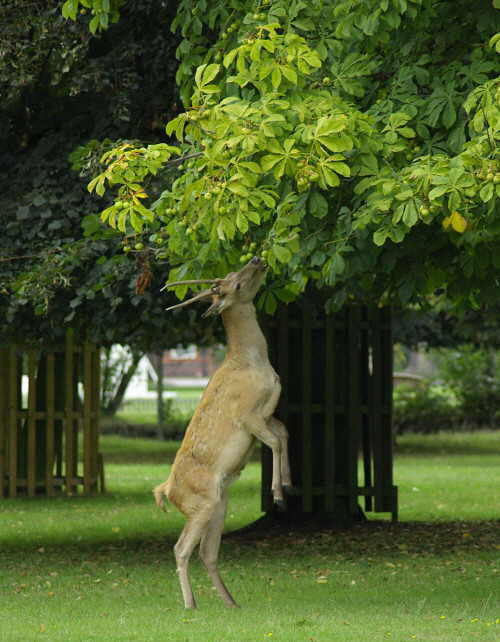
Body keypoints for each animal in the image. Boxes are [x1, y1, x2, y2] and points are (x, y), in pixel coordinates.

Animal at [153, 256, 291, 609]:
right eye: (236, 283)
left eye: (232, 274)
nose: (257, 259)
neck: (253, 363)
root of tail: (166, 490)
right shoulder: (247, 415)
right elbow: (274, 441)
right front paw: (278, 494)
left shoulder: (267, 413)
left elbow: (284, 434)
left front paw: (286, 483)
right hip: (201, 504)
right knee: (181, 548)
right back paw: (191, 604)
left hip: (218, 506)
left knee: (208, 552)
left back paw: (231, 602)